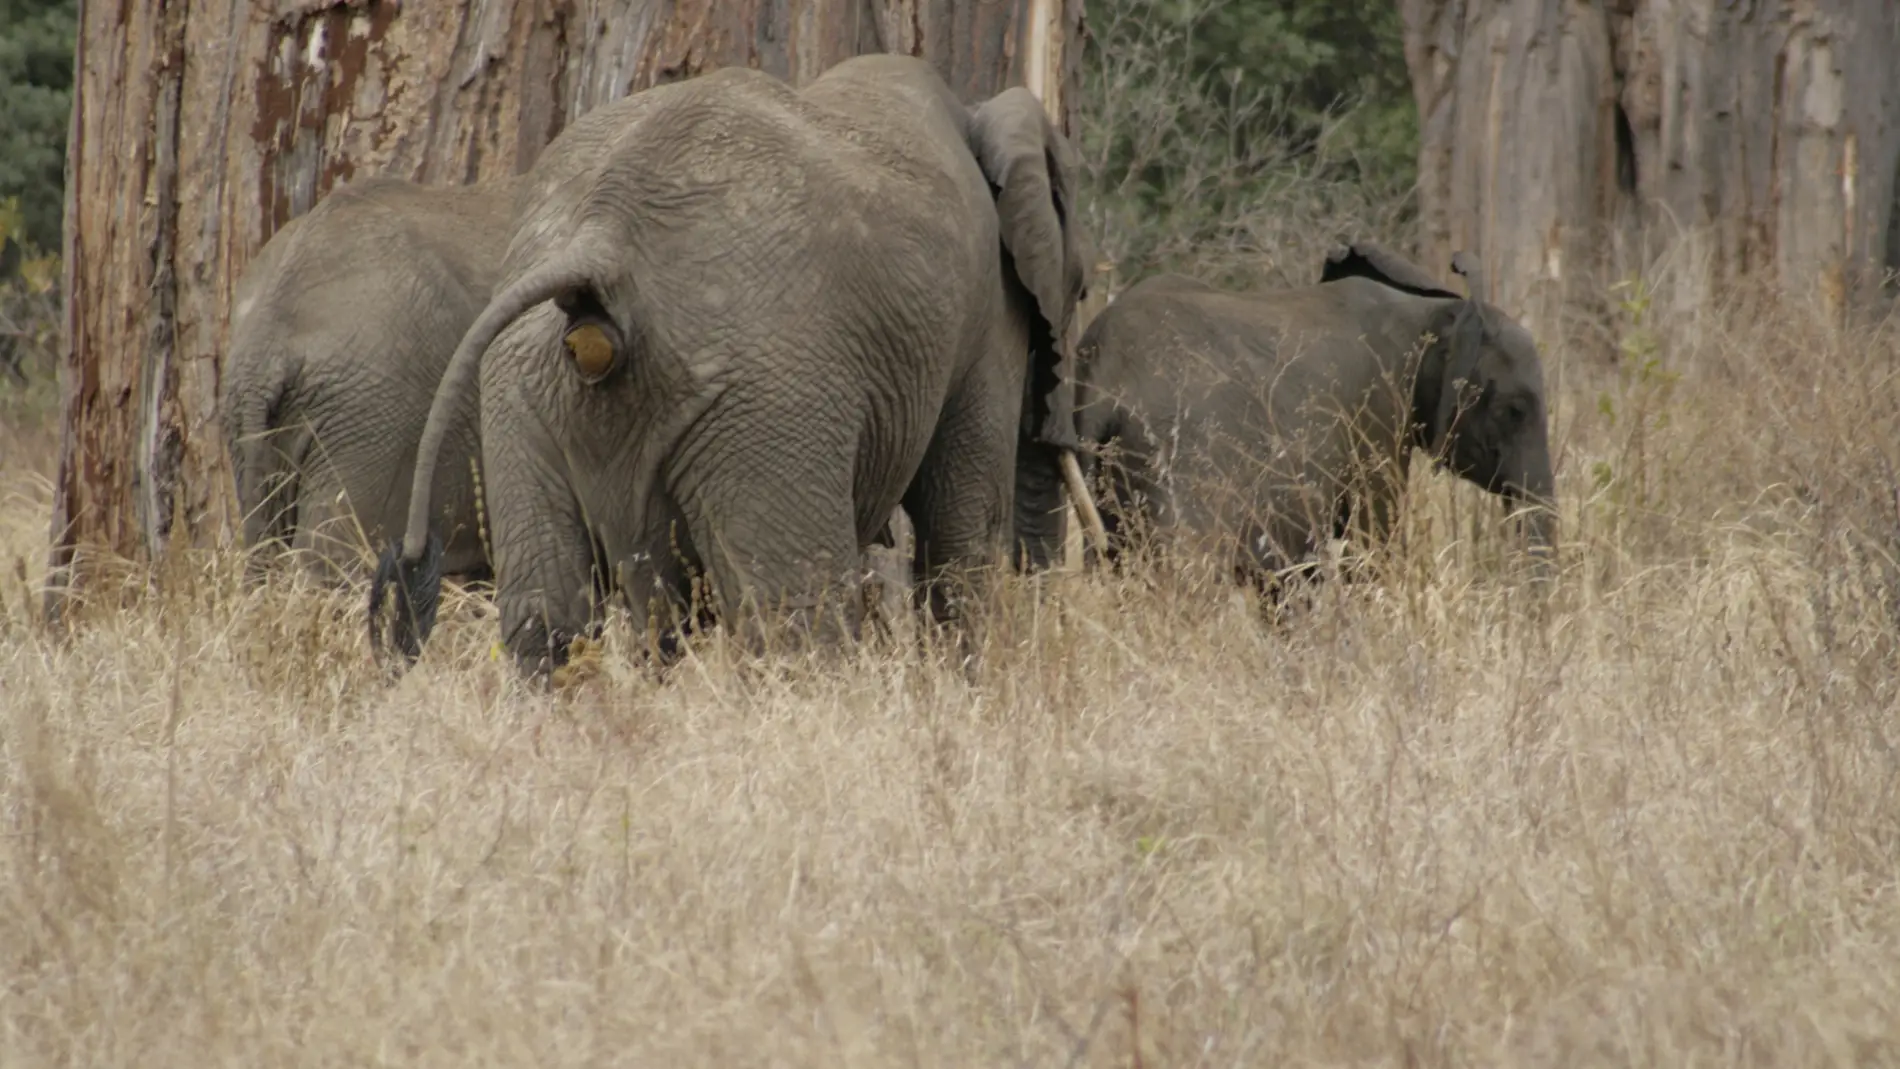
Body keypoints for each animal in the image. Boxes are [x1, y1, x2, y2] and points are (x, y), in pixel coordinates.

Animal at [366, 54, 1086, 672]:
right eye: (1080, 290)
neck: (976, 109)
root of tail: (603, 243)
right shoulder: (987, 316)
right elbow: (965, 525)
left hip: (522, 389)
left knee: (547, 620)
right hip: (769, 403)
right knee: (793, 619)